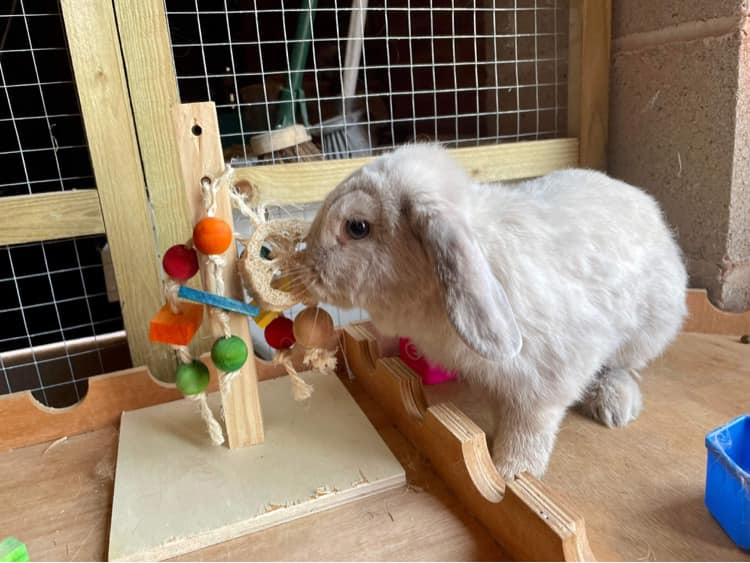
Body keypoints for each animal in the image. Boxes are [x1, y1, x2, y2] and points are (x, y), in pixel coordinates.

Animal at [296, 143, 687, 479]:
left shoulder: (545, 384)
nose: (304, 266)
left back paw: (614, 405)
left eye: (357, 227)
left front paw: (510, 472)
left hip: (647, 331)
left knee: (624, 367)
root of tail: (647, 205)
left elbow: (529, 429)